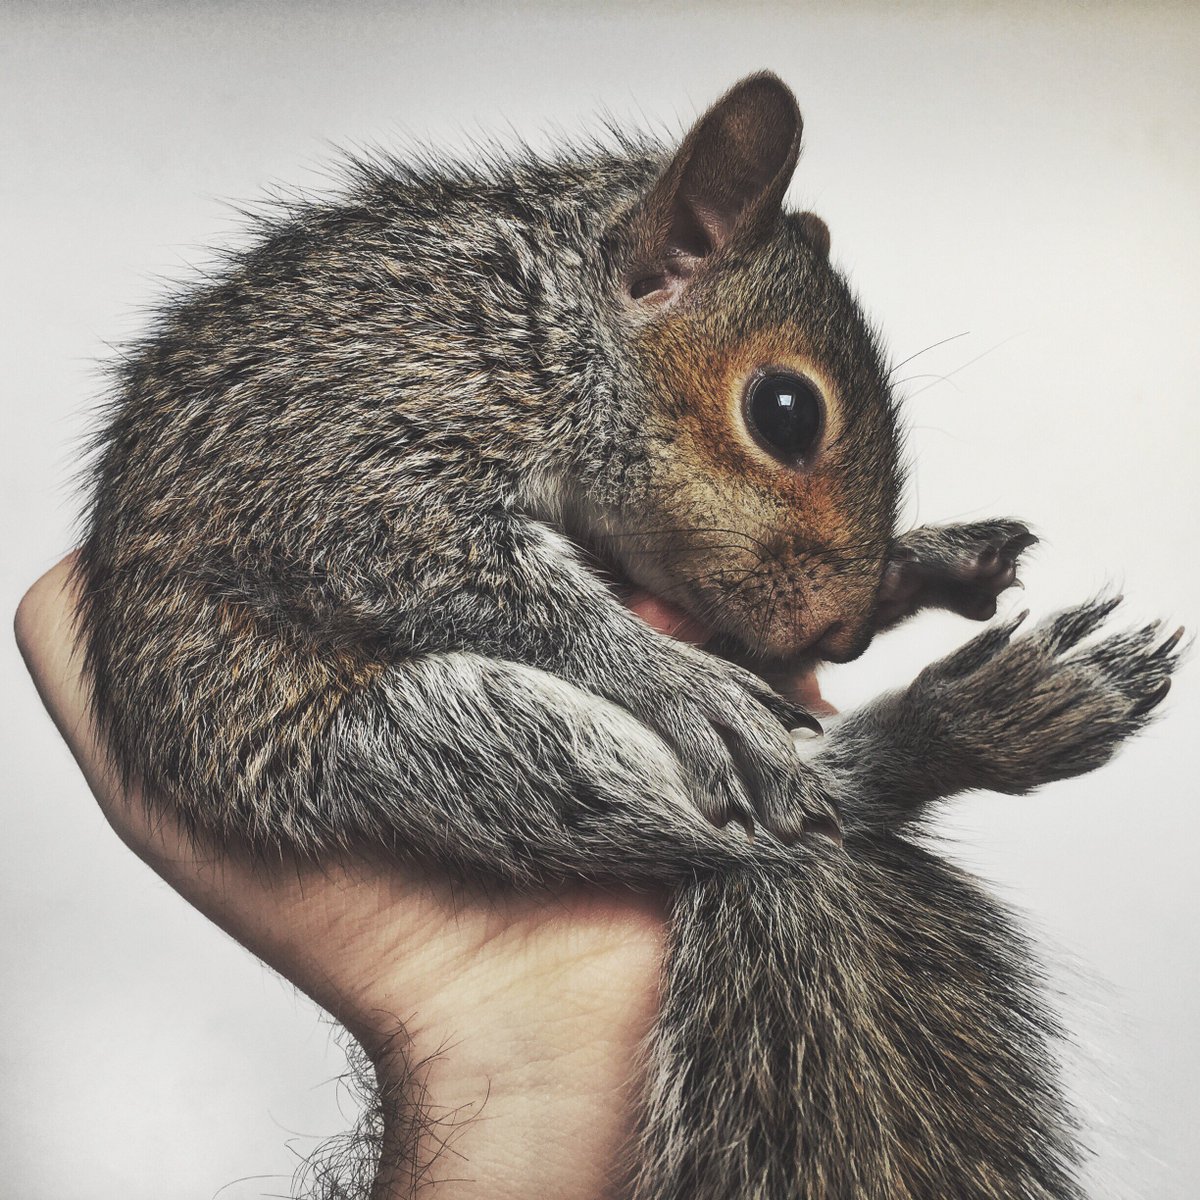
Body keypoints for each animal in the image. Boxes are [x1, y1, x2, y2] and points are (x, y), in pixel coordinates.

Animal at [75, 73, 1181, 1198]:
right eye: (786, 410)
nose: (842, 636)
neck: (547, 323)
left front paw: (923, 564)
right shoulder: (350, 442)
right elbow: (464, 575)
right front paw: (676, 678)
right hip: (414, 740)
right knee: (758, 819)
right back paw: (973, 722)